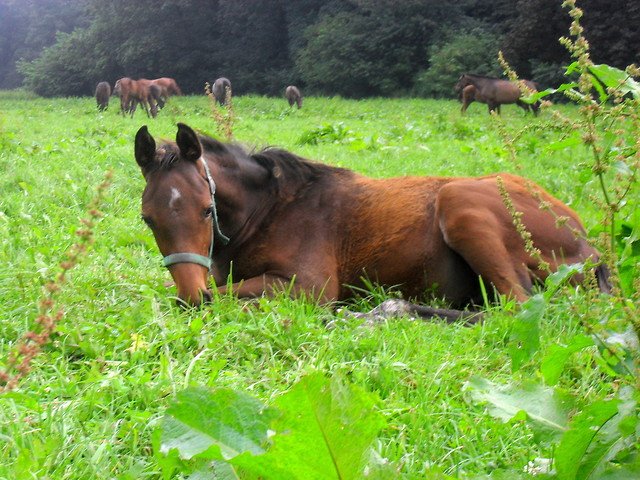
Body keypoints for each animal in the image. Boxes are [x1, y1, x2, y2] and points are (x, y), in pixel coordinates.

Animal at [134, 123, 608, 318]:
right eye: (147, 219)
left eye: (206, 209)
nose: (192, 293)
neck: (269, 210)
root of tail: (586, 242)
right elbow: (205, 293)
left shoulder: (310, 288)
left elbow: (225, 297)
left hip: (459, 204)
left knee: (518, 307)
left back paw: (385, 310)